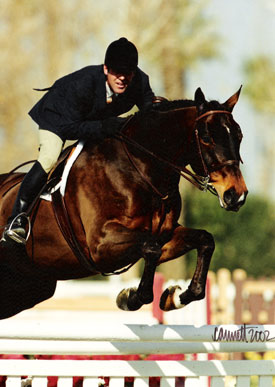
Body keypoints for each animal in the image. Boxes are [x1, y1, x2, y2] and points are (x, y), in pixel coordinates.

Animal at [0, 88, 248, 322]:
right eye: (206, 137)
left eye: (239, 135)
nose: (236, 195)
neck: (141, 169)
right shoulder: (100, 246)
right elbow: (151, 249)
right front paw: (130, 298)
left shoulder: (164, 235)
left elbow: (204, 240)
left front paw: (174, 297)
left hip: (30, 287)